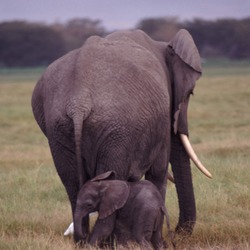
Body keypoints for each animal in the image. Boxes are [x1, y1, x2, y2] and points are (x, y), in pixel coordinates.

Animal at [31, 28, 211, 241]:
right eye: (190, 93)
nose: (178, 233)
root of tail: (78, 103)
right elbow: (158, 171)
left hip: (59, 129)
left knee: (72, 183)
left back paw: (83, 241)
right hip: (115, 130)